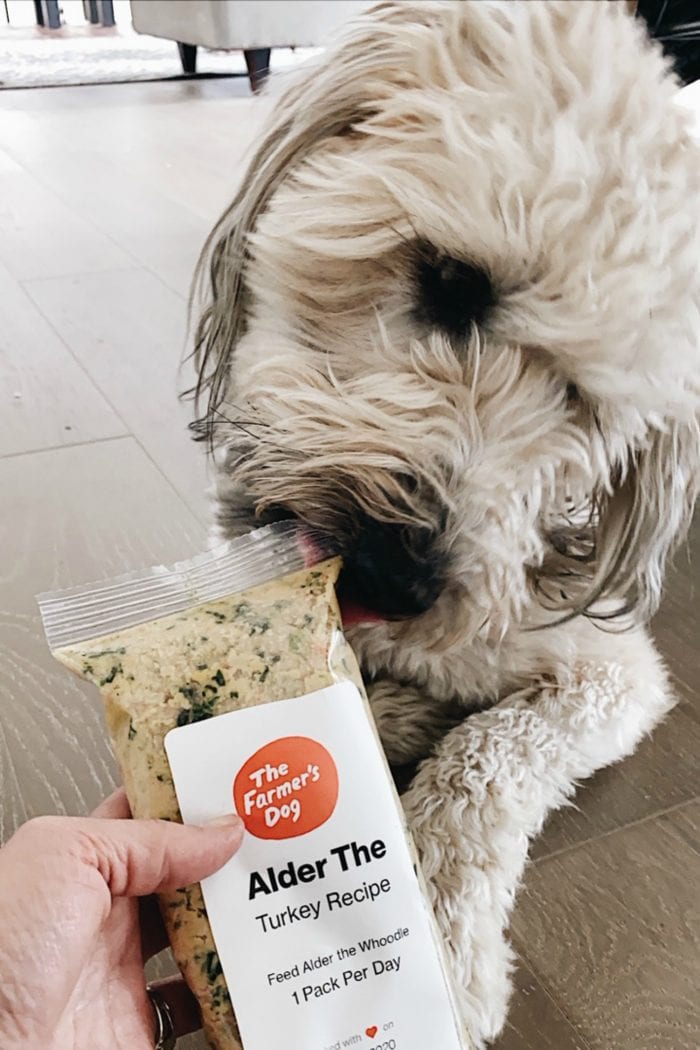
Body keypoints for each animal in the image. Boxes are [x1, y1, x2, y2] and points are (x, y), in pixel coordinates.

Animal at [188, 4, 696, 1045]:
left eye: (585, 405)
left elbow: (487, 762)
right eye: (454, 282)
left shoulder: (613, 678)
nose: (395, 580)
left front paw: (444, 950)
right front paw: (392, 713)